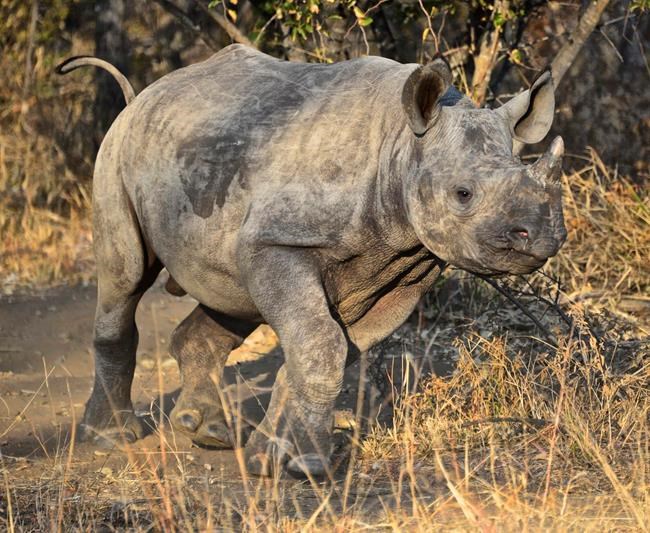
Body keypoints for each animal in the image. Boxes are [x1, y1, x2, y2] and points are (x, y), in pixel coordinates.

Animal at [56, 44, 566, 477]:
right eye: (463, 194)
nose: (542, 236)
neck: (401, 145)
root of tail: (139, 98)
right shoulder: (280, 242)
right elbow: (321, 344)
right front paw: (310, 468)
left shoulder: (401, 273)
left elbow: (326, 349)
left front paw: (272, 458)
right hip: (117, 155)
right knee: (126, 280)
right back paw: (113, 436)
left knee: (229, 296)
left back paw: (210, 433)